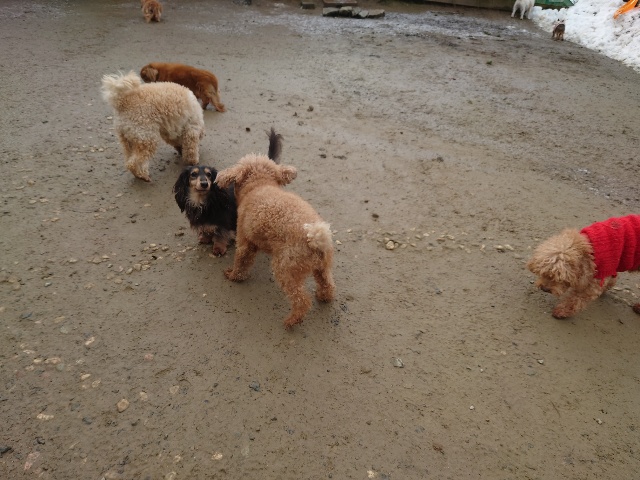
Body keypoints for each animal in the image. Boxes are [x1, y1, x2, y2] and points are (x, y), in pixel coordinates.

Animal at [173, 128, 283, 256]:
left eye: (209, 174)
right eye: (193, 174)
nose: (204, 184)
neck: (202, 201)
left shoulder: (223, 222)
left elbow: (220, 235)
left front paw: (219, 248)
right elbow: (205, 229)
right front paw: (205, 238)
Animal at [215, 152, 335, 329]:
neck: (259, 185)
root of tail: (315, 238)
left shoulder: (244, 241)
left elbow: (241, 262)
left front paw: (233, 275)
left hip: (285, 268)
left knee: (301, 300)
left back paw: (292, 320)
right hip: (322, 267)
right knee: (327, 284)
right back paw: (323, 296)